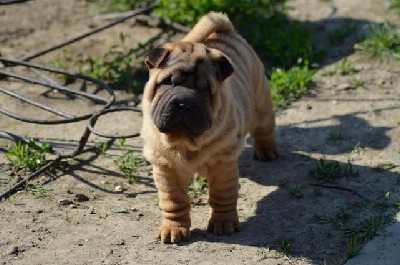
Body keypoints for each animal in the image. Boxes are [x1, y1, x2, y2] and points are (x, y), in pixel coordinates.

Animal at [141, 11, 278, 242]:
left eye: (206, 90)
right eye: (168, 82)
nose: (184, 101)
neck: (185, 141)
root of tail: (226, 30)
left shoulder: (223, 163)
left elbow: (222, 196)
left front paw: (223, 223)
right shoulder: (165, 167)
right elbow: (173, 201)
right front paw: (173, 228)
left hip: (260, 105)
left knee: (264, 129)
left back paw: (267, 151)